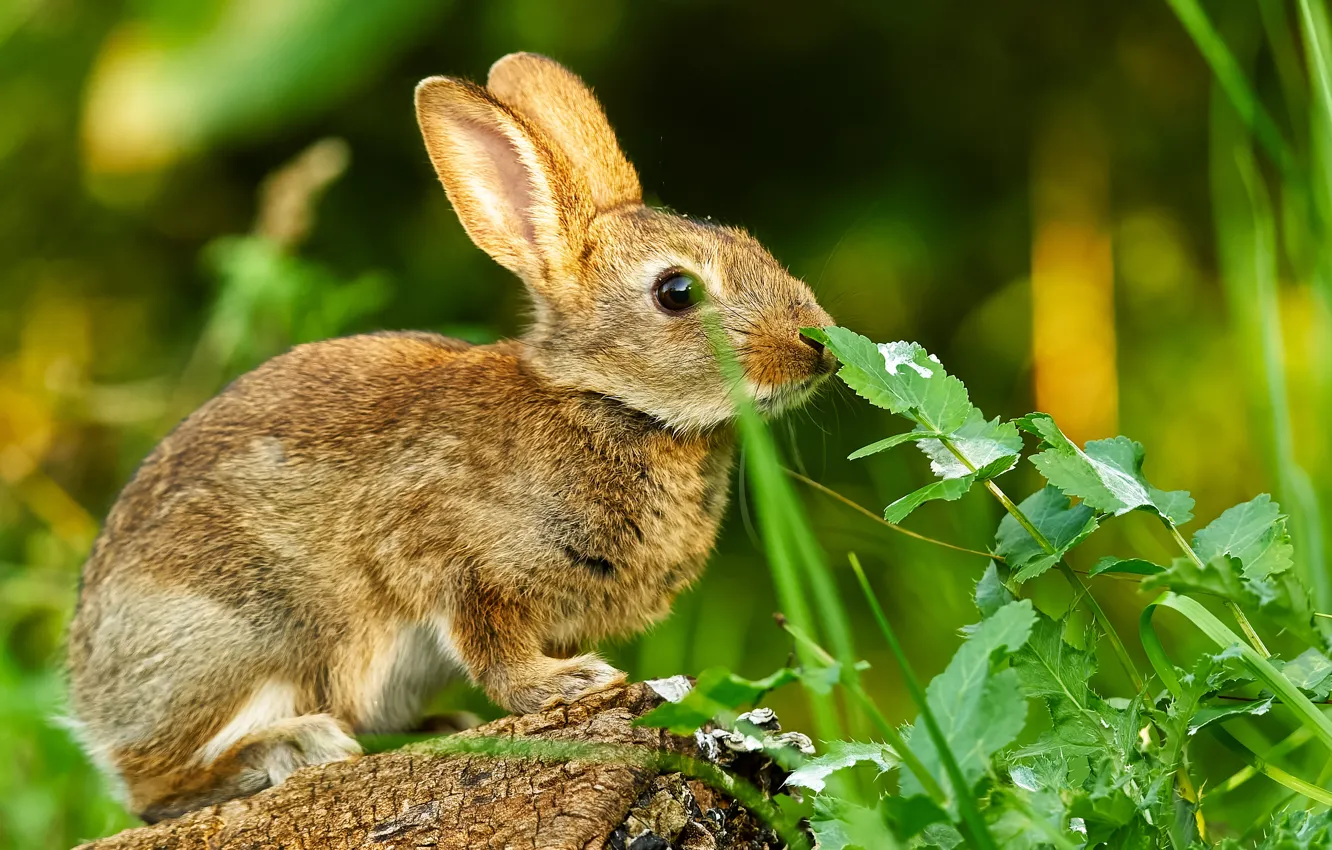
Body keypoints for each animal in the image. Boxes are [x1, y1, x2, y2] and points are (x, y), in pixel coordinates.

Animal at [64, 54, 831, 826]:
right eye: (677, 292)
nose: (818, 344)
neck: (606, 400)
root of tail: (91, 704)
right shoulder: (460, 566)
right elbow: (495, 654)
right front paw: (570, 684)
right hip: (243, 636)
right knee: (157, 787)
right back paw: (296, 747)